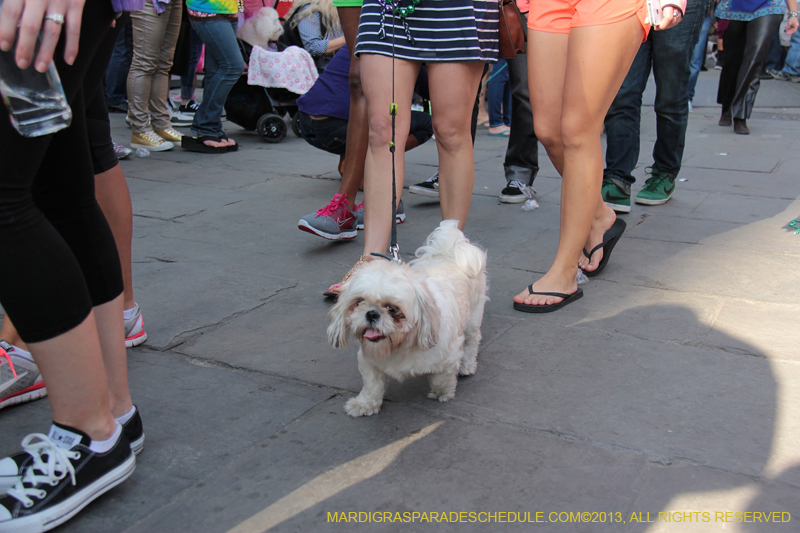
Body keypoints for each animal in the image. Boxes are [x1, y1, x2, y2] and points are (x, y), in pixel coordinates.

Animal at [326, 219, 488, 416]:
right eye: (359, 302)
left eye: (392, 309)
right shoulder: (369, 360)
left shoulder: (448, 357)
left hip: (473, 317)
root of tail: (449, 251)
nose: (371, 313)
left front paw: (442, 393)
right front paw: (365, 404)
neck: (399, 345)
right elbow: (372, 385)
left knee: (472, 341)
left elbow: (441, 378)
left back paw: (467, 365)